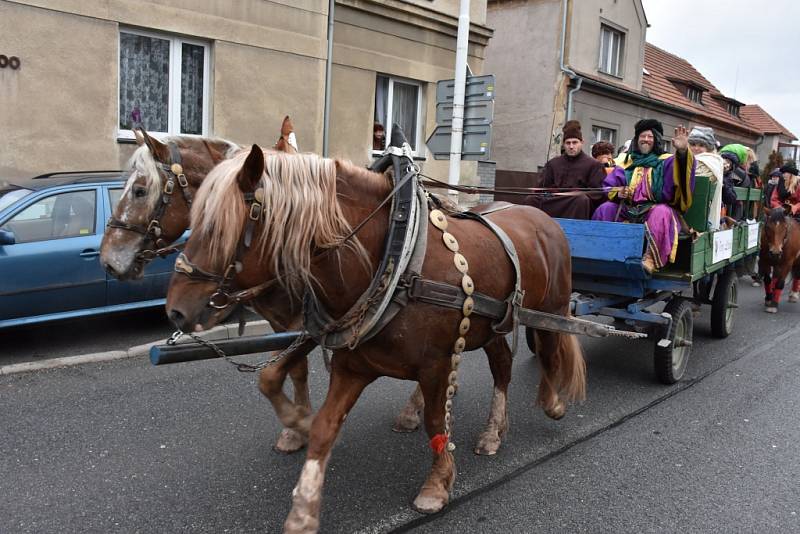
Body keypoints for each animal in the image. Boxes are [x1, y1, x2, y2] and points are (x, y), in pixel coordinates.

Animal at [166, 144, 584, 532]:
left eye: (217, 229)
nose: (174, 311)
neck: (396, 260)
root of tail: (542, 216)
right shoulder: (351, 364)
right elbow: (321, 424)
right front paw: (303, 506)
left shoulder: (435, 364)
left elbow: (437, 423)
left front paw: (437, 484)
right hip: (493, 325)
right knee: (502, 363)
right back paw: (493, 429)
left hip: (552, 307)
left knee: (546, 351)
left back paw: (545, 405)